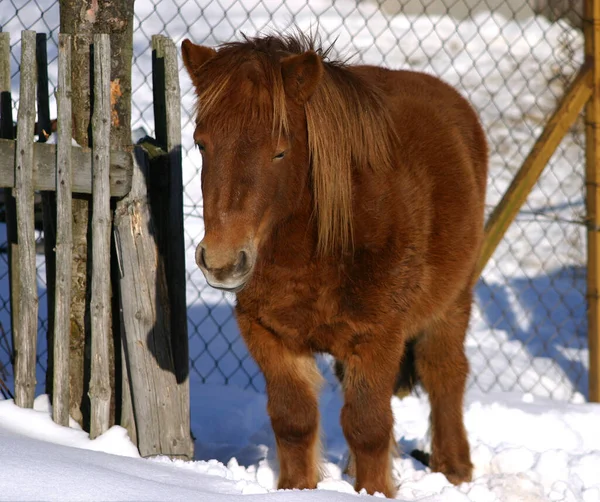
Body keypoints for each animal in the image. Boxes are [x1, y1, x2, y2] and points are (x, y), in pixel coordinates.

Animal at [183, 32, 488, 498]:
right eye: (202, 143)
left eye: (280, 152)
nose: (221, 261)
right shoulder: (269, 334)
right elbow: (293, 420)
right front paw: (298, 487)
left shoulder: (378, 336)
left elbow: (368, 426)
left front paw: (376, 491)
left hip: (453, 301)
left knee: (445, 373)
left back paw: (454, 469)